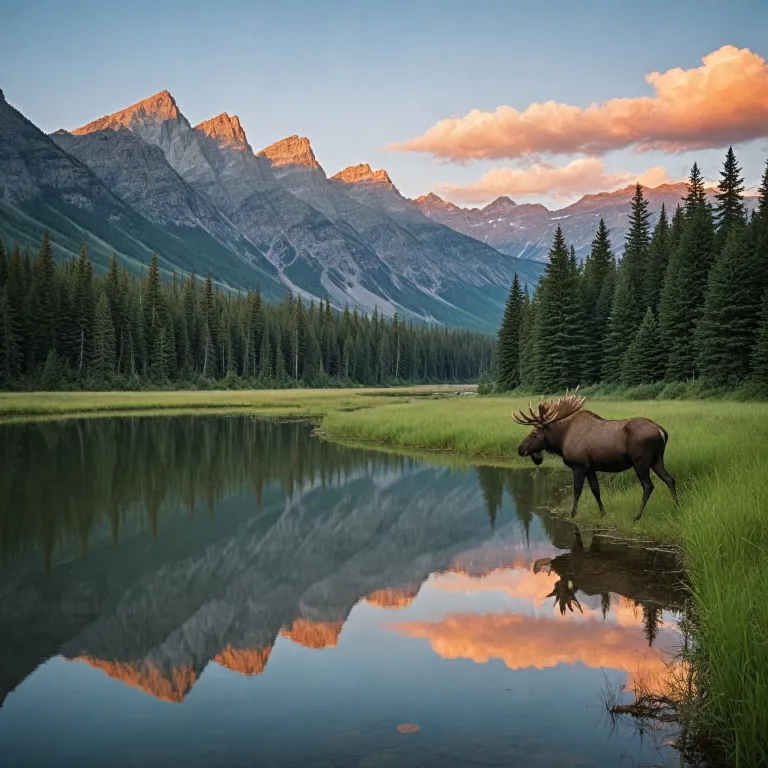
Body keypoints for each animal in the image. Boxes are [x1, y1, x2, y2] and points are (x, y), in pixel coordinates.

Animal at [512, 388, 678, 523]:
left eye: (534, 433)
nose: (520, 448)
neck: (561, 440)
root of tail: (662, 432)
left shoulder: (579, 465)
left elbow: (577, 491)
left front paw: (572, 515)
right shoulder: (590, 468)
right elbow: (595, 490)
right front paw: (603, 513)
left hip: (641, 462)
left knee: (648, 486)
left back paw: (637, 517)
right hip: (657, 459)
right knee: (670, 479)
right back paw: (676, 509)